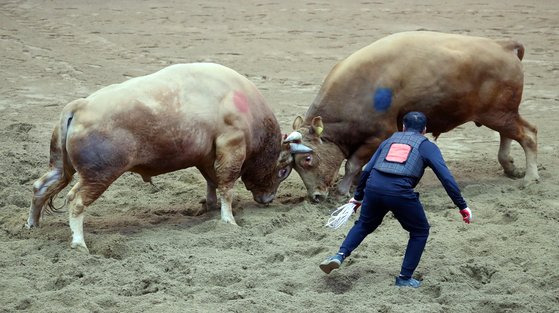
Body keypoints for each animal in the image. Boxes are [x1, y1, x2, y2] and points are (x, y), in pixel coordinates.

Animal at [27, 62, 294, 251]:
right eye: (282, 170)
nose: (268, 198)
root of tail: (80, 106)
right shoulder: (231, 145)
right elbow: (227, 186)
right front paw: (228, 221)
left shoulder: (206, 156)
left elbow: (212, 181)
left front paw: (210, 206)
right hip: (99, 175)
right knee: (76, 201)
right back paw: (79, 243)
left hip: (61, 167)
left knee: (41, 186)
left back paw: (32, 226)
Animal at [286, 31, 540, 201]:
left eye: (307, 159)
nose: (316, 197)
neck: (360, 90)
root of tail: (503, 45)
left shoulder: (380, 134)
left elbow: (353, 163)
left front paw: (342, 190)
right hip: (500, 114)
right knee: (509, 135)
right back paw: (510, 168)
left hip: (498, 114)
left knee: (528, 135)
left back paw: (530, 178)